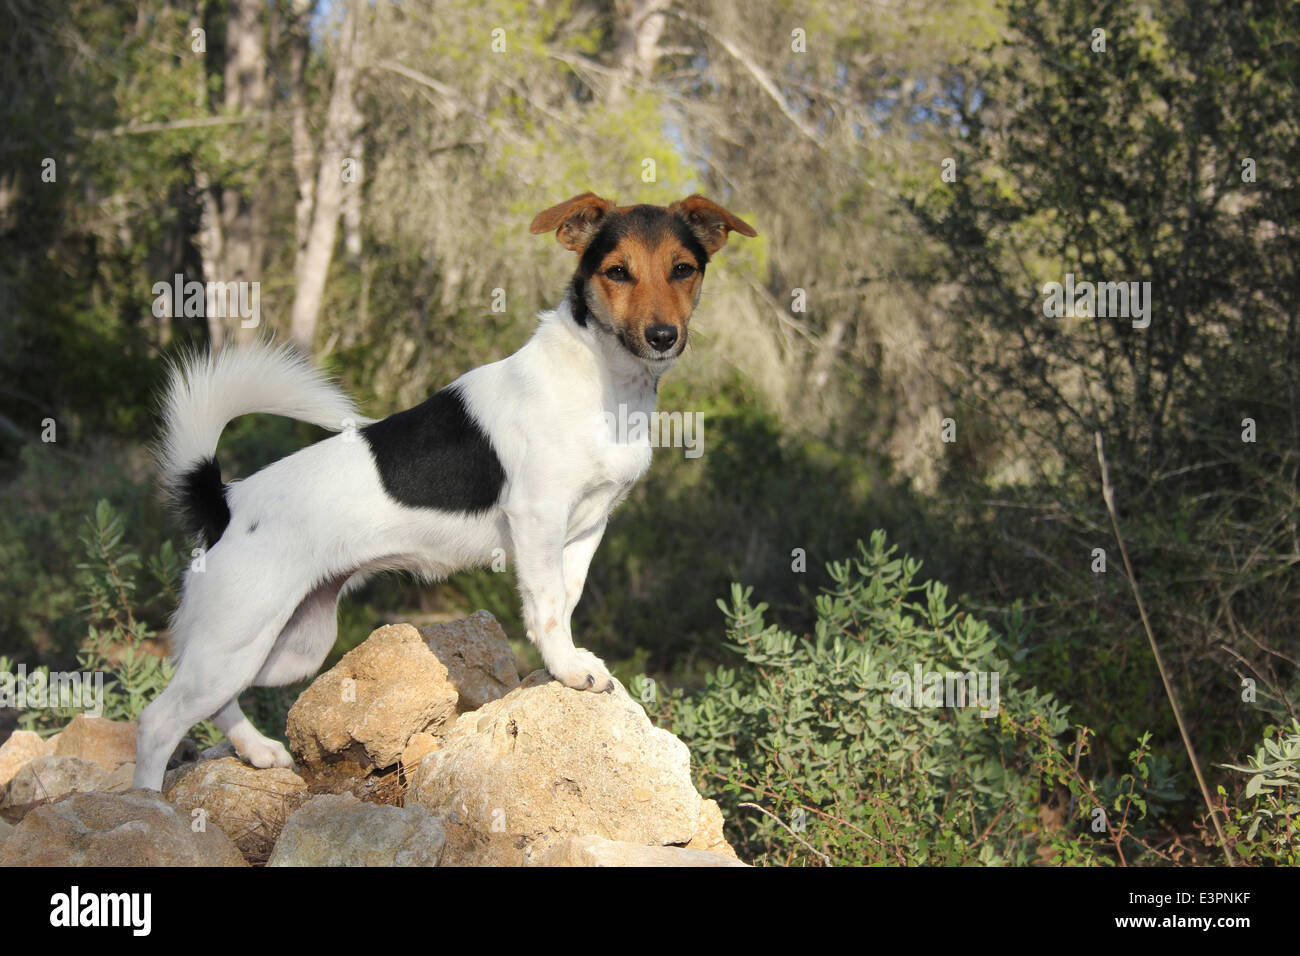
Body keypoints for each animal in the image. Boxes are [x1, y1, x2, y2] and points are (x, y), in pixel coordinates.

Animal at [130, 191, 754, 790]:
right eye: (617, 272)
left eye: (682, 269)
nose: (662, 337)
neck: (603, 377)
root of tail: (225, 502)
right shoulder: (538, 519)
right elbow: (548, 606)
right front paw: (567, 668)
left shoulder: (587, 528)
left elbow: (566, 599)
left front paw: (567, 658)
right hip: (238, 636)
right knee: (159, 720)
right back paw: (147, 799)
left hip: (288, 646)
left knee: (219, 702)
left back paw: (258, 750)